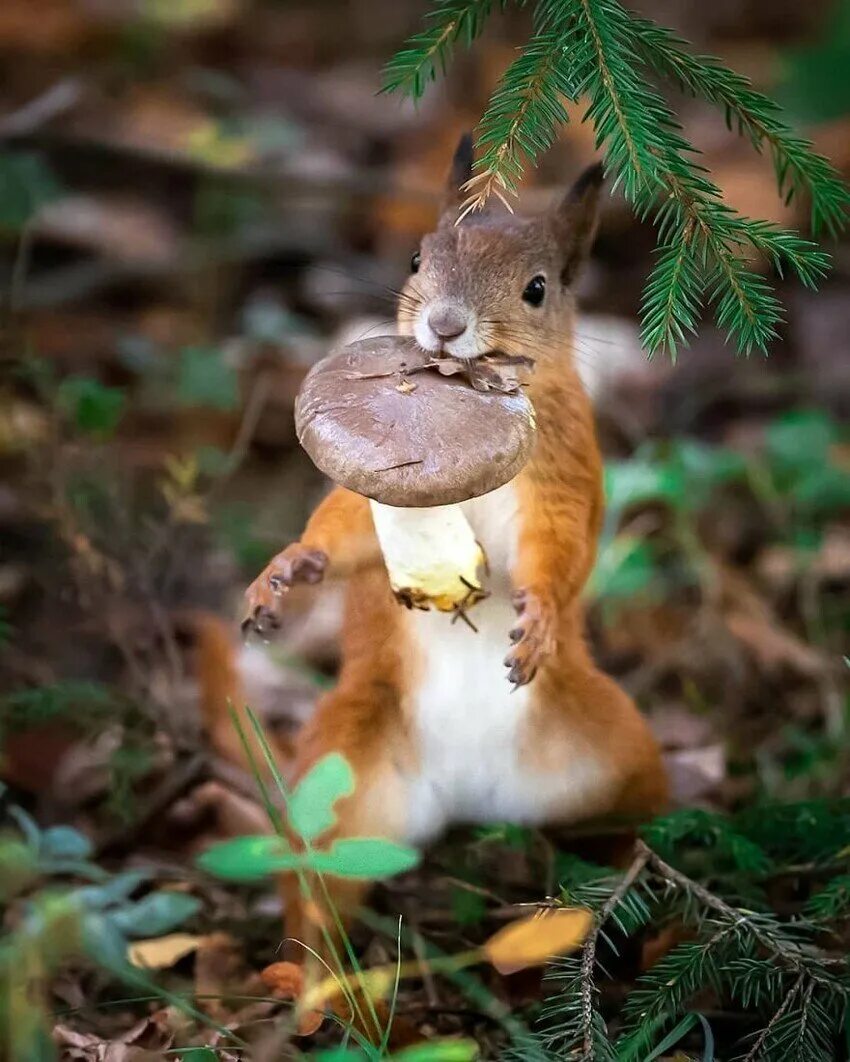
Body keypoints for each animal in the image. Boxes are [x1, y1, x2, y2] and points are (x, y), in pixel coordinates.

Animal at [235, 139, 667, 972]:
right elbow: (345, 528)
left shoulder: (566, 465)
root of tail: (476, 797)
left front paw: (538, 616)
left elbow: (559, 545)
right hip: (340, 775)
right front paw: (290, 569)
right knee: (320, 884)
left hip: (621, 751)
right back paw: (309, 975)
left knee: (637, 823)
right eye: (415, 258)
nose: (442, 325)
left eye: (537, 289)